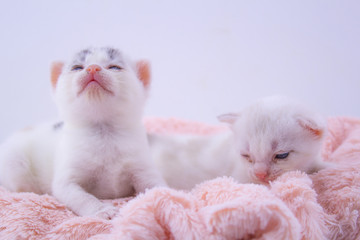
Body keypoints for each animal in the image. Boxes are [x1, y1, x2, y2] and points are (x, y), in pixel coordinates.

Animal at [0, 47, 166, 219]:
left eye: (114, 67)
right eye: (77, 68)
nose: (92, 68)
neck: (103, 134)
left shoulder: (143, 167)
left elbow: (157, 187)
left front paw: (168, 197)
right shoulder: (66, 181)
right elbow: (82, 197)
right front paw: (102, 210)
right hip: (13, 164)